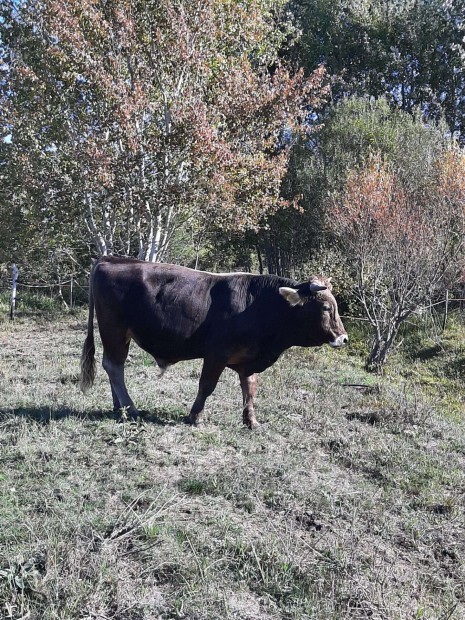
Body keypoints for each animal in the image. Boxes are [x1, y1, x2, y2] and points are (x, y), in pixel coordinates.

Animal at [80, 256, 348, 426]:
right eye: (326, 308)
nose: (343, 338)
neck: (258, 304)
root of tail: (111, 259)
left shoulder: (248, 359)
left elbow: (249, 388)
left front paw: (251, 421)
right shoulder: (216, 354)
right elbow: (207, 385)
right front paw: (195, 416)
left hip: (119, 335)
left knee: (115, 367)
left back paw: (119, 408)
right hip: (114, 330)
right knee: (114, 367)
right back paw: (130, 408)